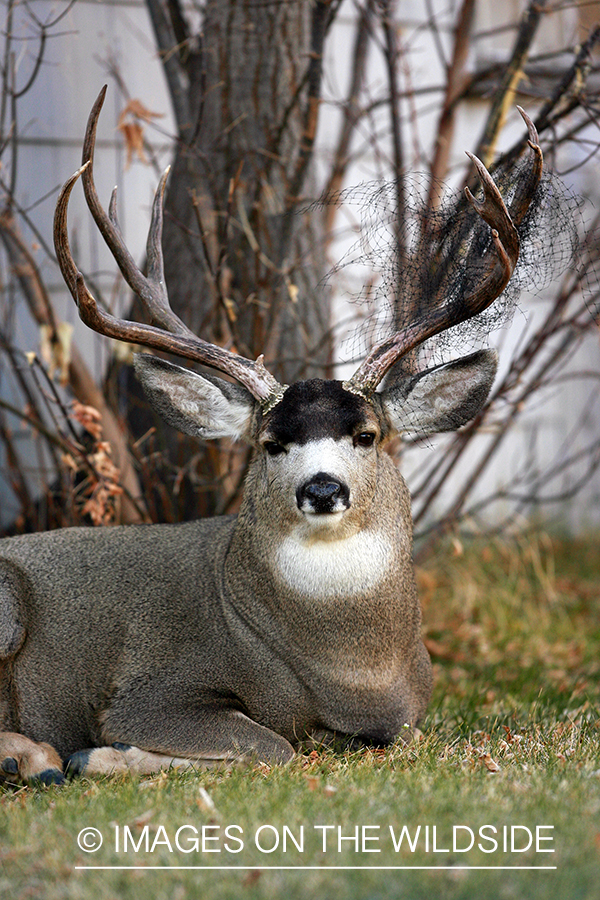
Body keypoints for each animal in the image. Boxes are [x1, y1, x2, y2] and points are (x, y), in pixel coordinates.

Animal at [0, 88, 543, 785]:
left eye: (367, 435)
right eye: (270, 443)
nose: (322, 488)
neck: (353, 675)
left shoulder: (410, 716)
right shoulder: (151, 690)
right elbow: (271, 745)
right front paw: (102, 754)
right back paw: (37, 756)